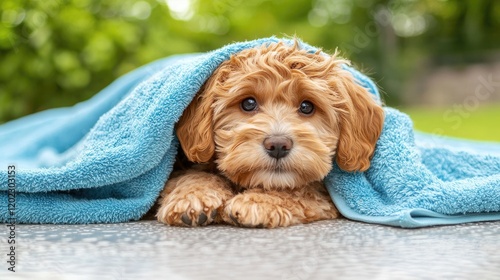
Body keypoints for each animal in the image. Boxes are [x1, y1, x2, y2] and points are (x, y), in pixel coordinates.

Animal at [155, 40, 382, 228]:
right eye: (248, 103)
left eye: (307, 107)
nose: (278, 145)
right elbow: (192, 174)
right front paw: (192, 197)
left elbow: (303, 190)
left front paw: (258, 201)